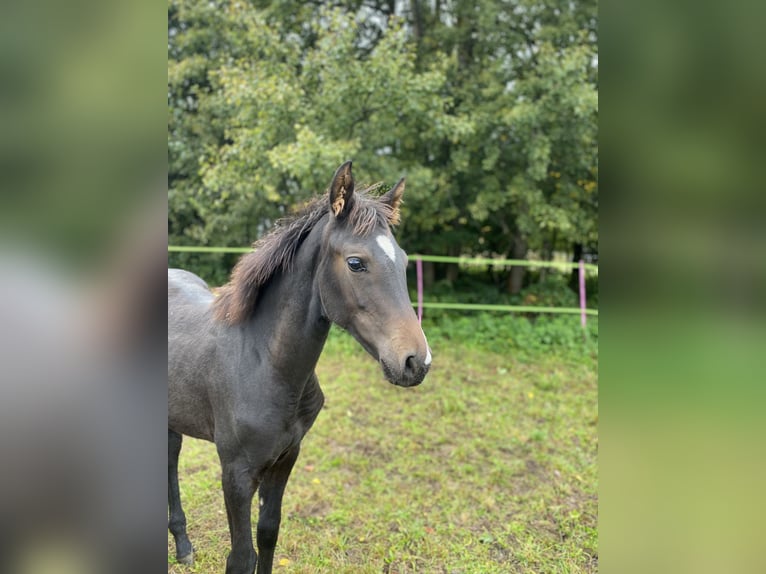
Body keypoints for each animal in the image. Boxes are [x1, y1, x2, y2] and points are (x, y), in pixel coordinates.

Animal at [168, 162, 432, 574]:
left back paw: (182, 546)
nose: (416, 361)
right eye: (356, 263)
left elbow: (268, 534)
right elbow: (241, 556)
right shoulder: (235, 473)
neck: (263, 362)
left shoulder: (286, 456)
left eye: (405, 262)